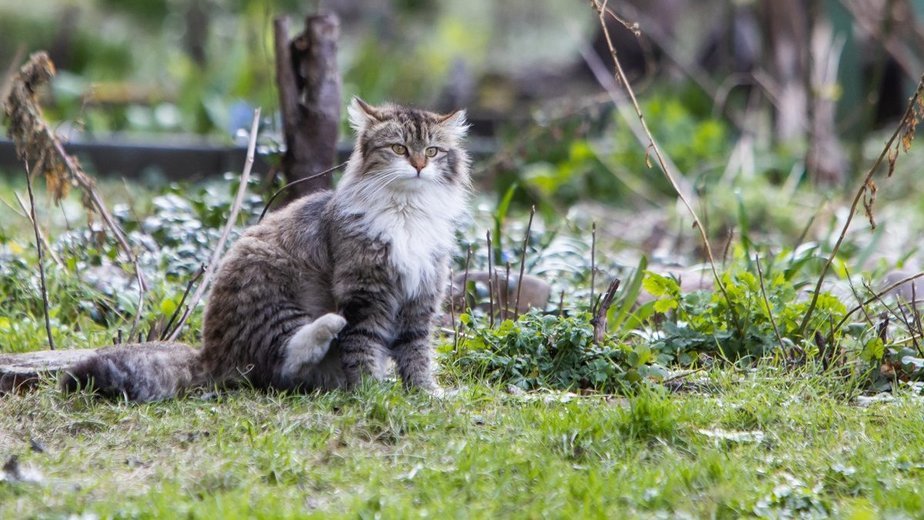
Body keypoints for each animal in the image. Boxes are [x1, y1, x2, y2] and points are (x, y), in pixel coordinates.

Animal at [59, 98, 470, 402]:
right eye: (399, 149)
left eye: (432, 151)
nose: (419, 166)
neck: (406, 215)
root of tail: (209, 353)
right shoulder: (366, 294)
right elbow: (365, 349)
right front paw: (370, 392)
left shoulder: (420, 299)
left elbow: (416, 355)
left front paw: (427, 395)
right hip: (273, 291)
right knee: (286, 363)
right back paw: (328, 327)